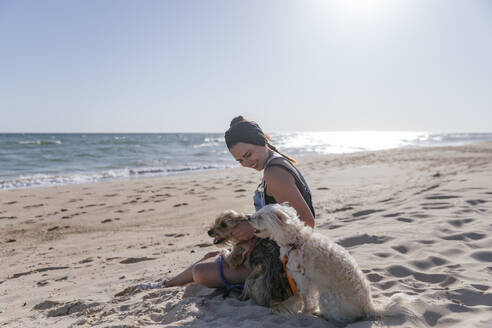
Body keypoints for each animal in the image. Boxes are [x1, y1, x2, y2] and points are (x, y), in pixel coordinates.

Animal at [248, 204, 414, 324]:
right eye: (258, 213)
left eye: (261, 216)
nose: (248, 217)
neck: (295, 240)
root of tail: (368, 306)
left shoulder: (303, 279)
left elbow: (307, 298)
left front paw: (305, 312)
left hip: (327, 296)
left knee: (342, 318)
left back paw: (322, 314)